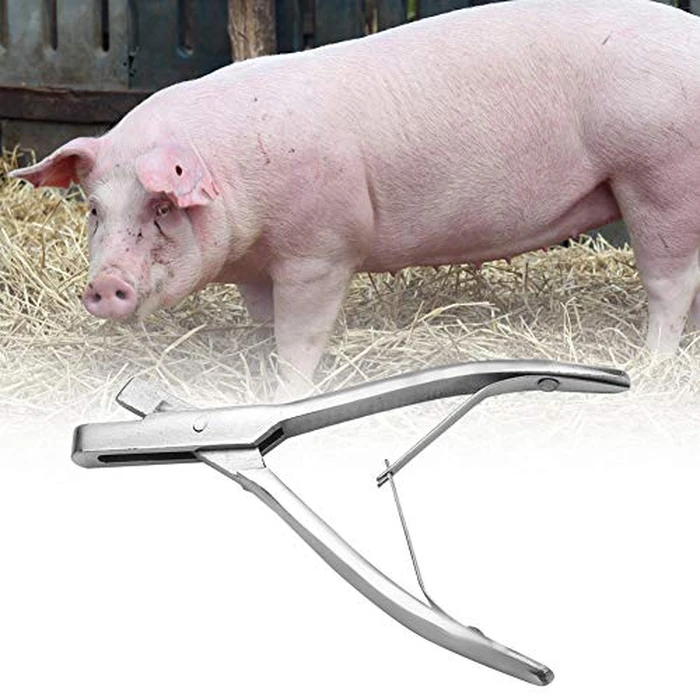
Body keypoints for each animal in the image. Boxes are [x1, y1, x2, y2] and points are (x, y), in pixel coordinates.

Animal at [11, 0, 700, 393]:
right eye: (95, 209)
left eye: (161, 207)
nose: (104, 285)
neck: (238, 177)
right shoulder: (258, 266)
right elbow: (265, 322)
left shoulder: (320, 250)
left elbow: (301, 335)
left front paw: (288, 389)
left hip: (657, 174)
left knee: (670, 282)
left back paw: (651, 364)